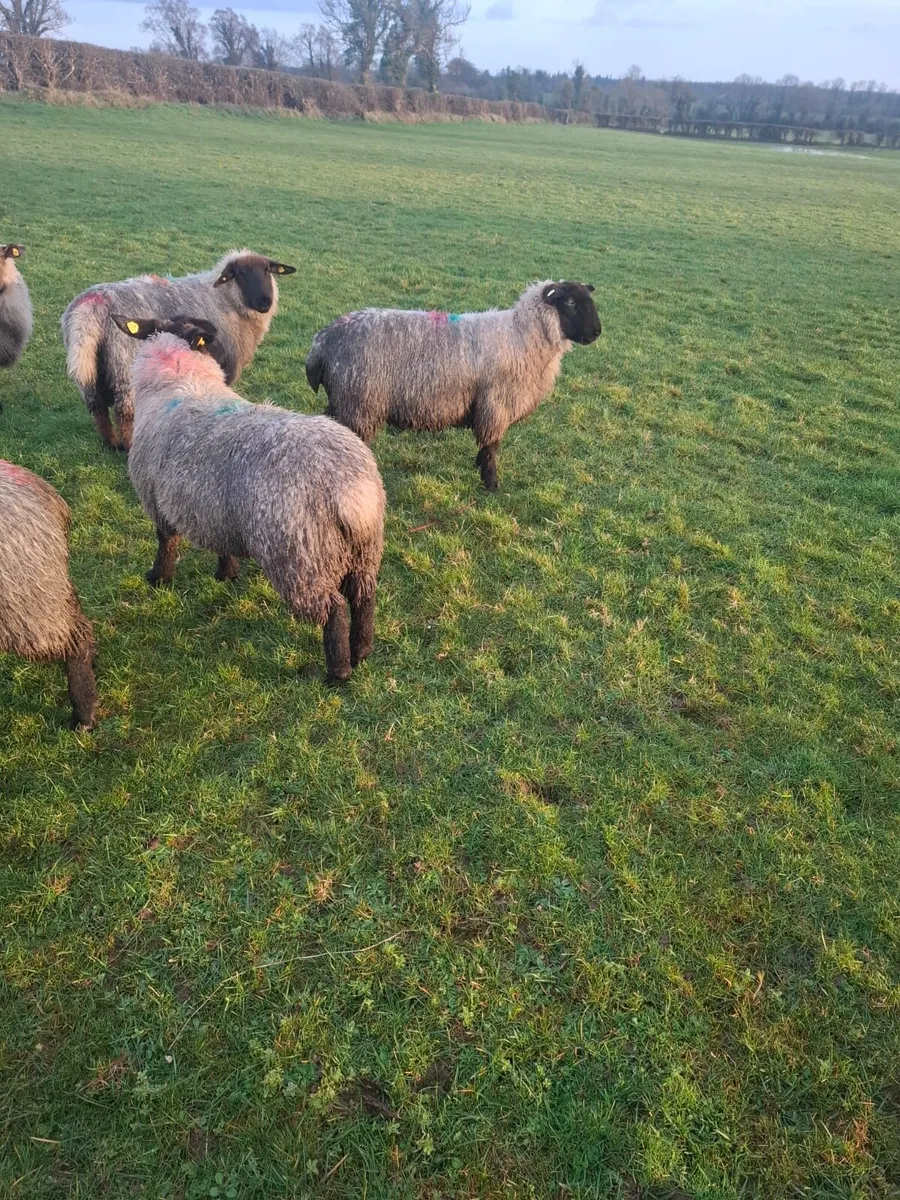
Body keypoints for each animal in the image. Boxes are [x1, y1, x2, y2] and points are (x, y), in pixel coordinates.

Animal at [61, 250, 296, 452]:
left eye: (267, 270)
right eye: (239, 274)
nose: (265, 302)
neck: (223, 298)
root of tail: (91, 307)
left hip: (88, 369)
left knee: (97, 407)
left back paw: (111, 443)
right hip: (123, 365)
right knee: (123, 411)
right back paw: (128, 446)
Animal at [112, 314, 385, 683]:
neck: (179, 382)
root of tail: (348, 489)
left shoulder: (157, 501)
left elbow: (165, 543)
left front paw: (158, 578)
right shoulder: (213, 510)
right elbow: (221, 543)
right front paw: (227, 573)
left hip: (299, 558)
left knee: (333, 611)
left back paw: (337, 673)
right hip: (364, 551)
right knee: (363, 598)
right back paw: (362, 652)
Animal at [305, 280, 601, 490]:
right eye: (570, 302)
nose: (597, 333)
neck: (521, 336)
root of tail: (323, 341)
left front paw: (480, 467)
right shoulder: (495, 405)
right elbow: (492, 446)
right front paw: (491, 484)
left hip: (342, 401)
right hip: (358, 403)